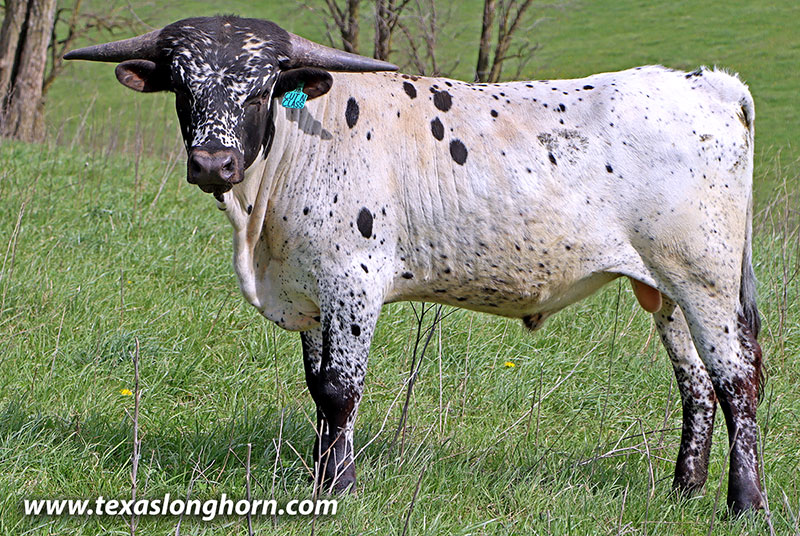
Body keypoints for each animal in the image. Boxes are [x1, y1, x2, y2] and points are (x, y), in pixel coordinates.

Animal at [65, 15, 764, 513]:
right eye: (182, 84)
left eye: (262, 86)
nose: (214, 163)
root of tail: (705, 82)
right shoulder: (312, 290)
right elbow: (317, 388)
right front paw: (318, 475)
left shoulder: (353, 280)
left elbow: (340, 390)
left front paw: (339, 487)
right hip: (663, 287)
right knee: (697, 385)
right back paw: (684, 490)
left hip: (706, 278)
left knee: (737, 382)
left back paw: (745, 503)